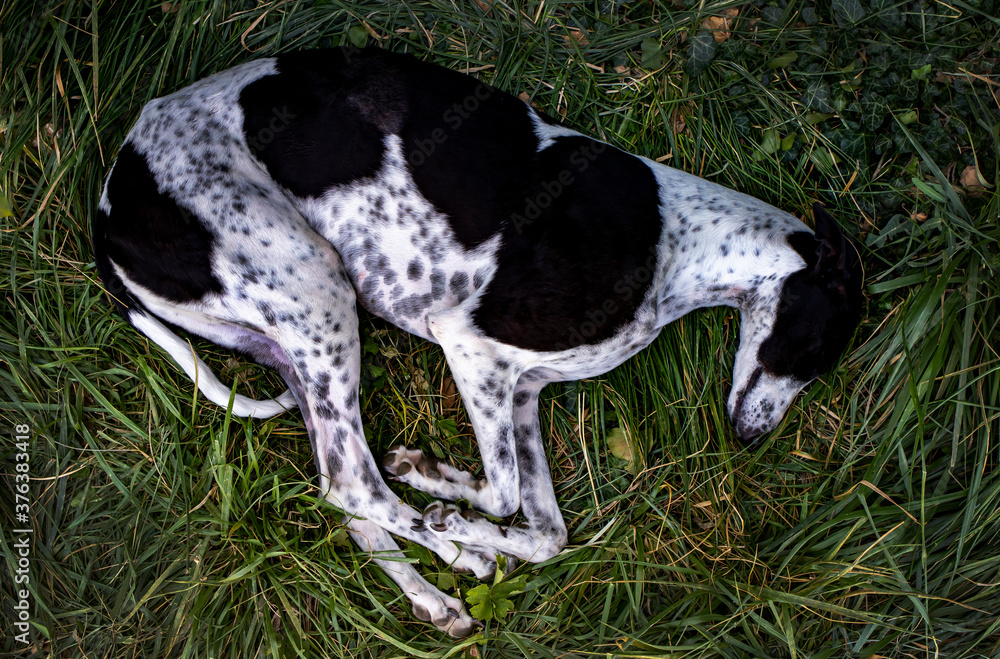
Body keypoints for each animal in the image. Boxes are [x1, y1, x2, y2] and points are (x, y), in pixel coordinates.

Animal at [92, 47, 860, 640]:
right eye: (816, 352)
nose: (752, 439)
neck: (678, 241)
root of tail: (107, 204)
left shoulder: (520, 391)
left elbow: (547, 531)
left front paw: (450, 495)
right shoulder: (468, 342)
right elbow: (502, 494)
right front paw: (444, 499)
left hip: (299, 343)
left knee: (342, 495)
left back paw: (435, 595)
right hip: (319, 292)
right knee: (355, 486)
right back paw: (454, 551)